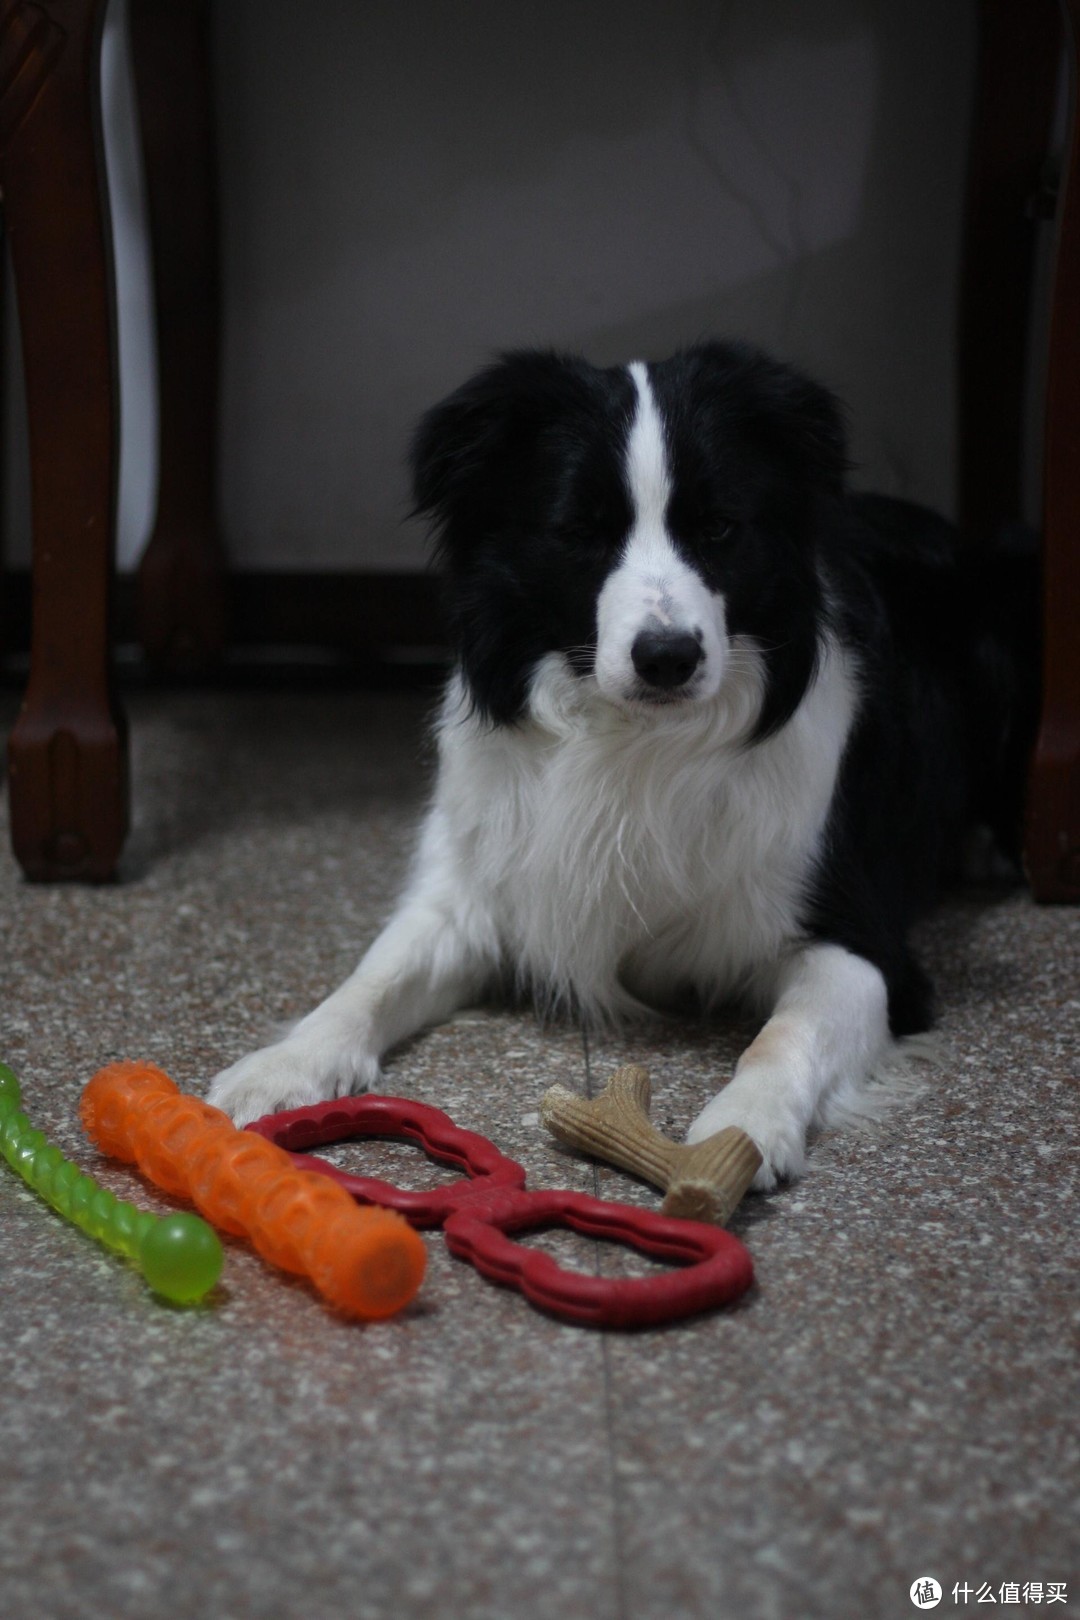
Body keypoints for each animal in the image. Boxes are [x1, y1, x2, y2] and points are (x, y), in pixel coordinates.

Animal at [208, 341, 1029, 1185]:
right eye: (581, 532)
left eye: (719, 528)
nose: (668, 657)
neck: (636, 739)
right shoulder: (473, 890)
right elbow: (369, 979)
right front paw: (282, 1065)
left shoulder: (865, 943)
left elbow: (784, 1034)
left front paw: (740, 1130)